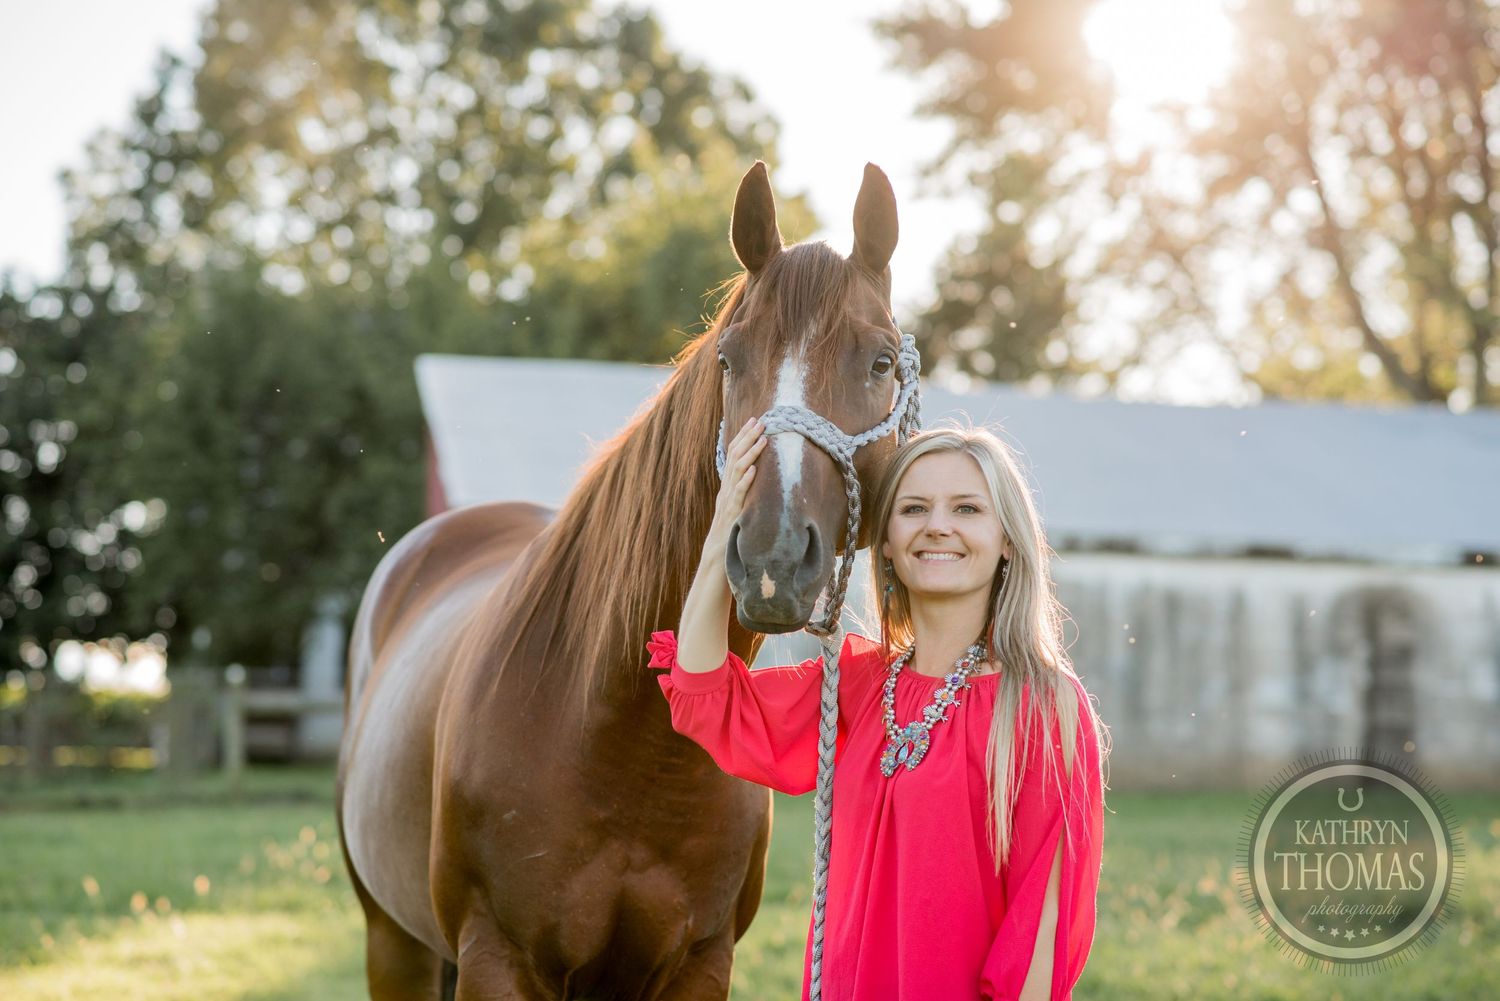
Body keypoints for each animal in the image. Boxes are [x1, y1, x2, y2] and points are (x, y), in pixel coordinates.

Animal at [337, 160, 909, 1000]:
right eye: (729, 359)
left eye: (881, 361)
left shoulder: (700, 962)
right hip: (392, 941)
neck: (625, 741)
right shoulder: (496, 958)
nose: (771, 555)